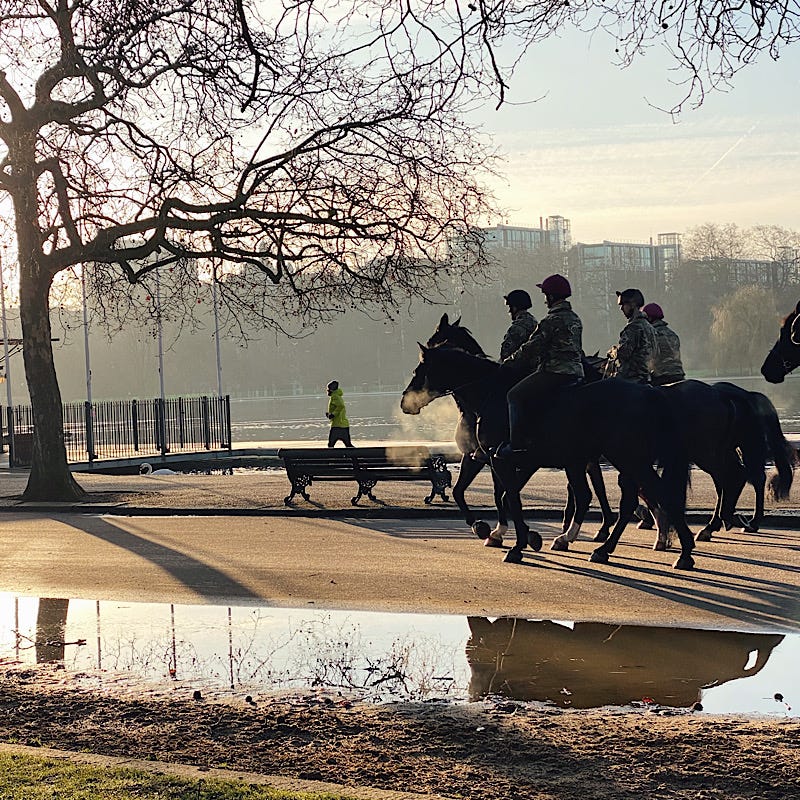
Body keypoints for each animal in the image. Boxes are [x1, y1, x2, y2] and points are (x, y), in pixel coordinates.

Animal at [400, 344, 692, 568]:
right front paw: (509, 534)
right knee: (617, 497)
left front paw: (515, 542)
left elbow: (508, 497)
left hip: (626, 458)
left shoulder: (502, 459)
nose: (405, 402)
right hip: (617, 460)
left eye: (418, 370)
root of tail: (651, 392)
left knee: (648, 495)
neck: (490, 396)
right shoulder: (498, 459)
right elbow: (490, 494)